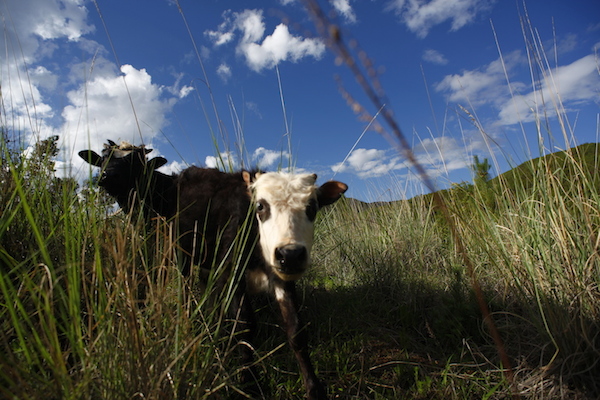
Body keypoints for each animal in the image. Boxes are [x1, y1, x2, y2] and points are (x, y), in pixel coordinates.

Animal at [78, 141, 346, 400]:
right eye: (102, 160)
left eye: (312, 208)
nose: (106, 177)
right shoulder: (229, 268)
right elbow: (245, 325)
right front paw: (250, 383)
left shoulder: (281, 275)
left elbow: (296, 330)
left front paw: (314, 389)